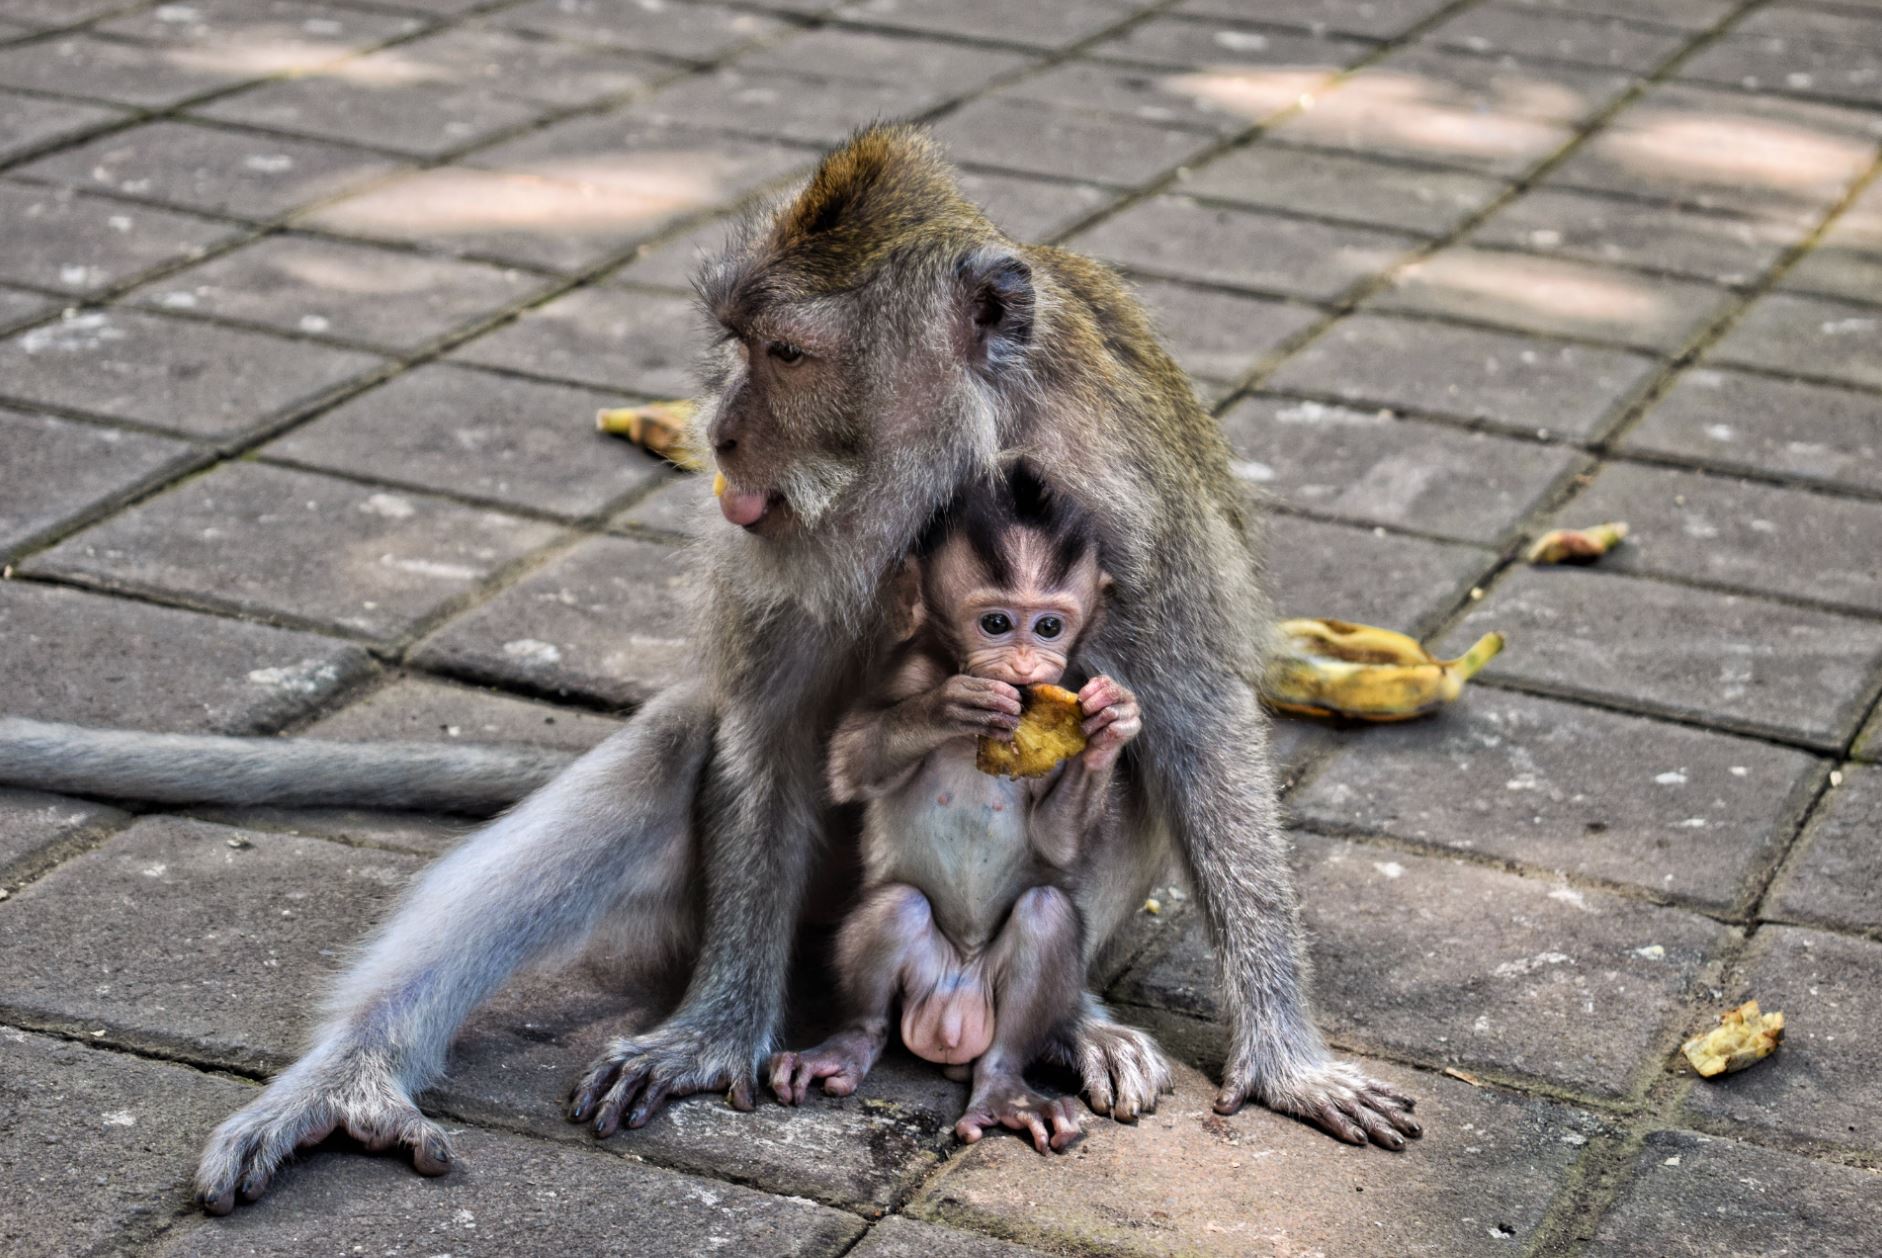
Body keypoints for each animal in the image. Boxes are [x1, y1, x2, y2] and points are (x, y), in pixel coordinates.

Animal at [769, 464, 1139, 1155]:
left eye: (1048, 627)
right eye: (995, 623)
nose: (1022, 665)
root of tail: (953, 1012)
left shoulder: (1066, 686)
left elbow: (1055, 842)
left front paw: (1111, 728)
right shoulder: (907, 667)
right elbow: (848, 762)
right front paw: (950, 706)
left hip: (994, 1010)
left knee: (1045, 914)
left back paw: (1005, 1089)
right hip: (917, 981)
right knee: (897, 909)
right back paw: (847, 1047)